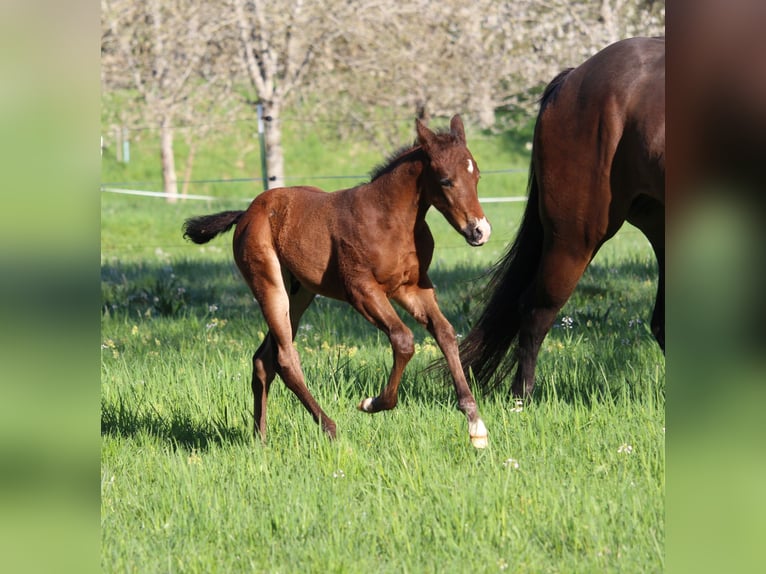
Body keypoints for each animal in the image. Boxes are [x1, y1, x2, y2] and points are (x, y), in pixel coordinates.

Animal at [183, 115, 491, 448]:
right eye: (446, 180)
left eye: (477, 176)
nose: (479, 231)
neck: (390, 220)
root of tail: (247, 213)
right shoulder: (361, 291)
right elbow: (403, 339)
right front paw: (373, 403)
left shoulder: (412, 288)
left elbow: (445, 333)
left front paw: (475, 423)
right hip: (268, 285)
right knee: (285, 358)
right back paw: (329, 428)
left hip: (299, 294)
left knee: (263, 360)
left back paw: (260, 437)